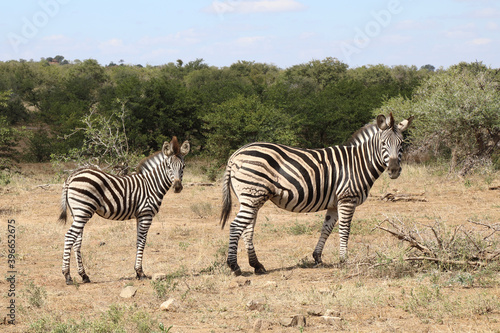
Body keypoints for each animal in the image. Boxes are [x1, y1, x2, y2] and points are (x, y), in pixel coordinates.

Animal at [58, 136, 189, 284]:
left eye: (183, 166)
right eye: (168, 166)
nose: (177, 187)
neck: (151, 184)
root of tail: (72, 176)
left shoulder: (139, 216)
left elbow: (138, 241)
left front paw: (137, 272)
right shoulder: (146, 214)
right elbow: (142, 242)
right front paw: (140, 272)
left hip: (77, 213)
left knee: (77, 241)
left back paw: (84, 275)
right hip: (83, 210)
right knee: (69, 236)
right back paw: (67, 276)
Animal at [221, 113, 412, 274]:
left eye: (401, 144)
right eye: (383, 144)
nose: (394, 170)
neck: (358, 162)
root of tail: (235, 154)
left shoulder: (335, 203)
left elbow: (326, 228)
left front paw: (317, 257)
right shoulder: (347, 198)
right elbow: (345, 229)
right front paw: (344, 260)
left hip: (251, 198)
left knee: (247, 228)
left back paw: (257, 265)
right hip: (253, 194)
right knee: (236, 226)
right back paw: (234, 266)